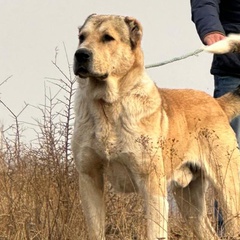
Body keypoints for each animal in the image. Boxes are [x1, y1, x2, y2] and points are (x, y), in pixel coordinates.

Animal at [71, 14, 240, 239]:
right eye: (81, 37)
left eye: (108, 38)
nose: (81, 54)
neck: (107, 106)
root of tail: (217, 103)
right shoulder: (89, 178)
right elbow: (96, 230)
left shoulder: (152, 184)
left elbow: (155, 231)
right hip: (189, 200)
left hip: (227, 186)